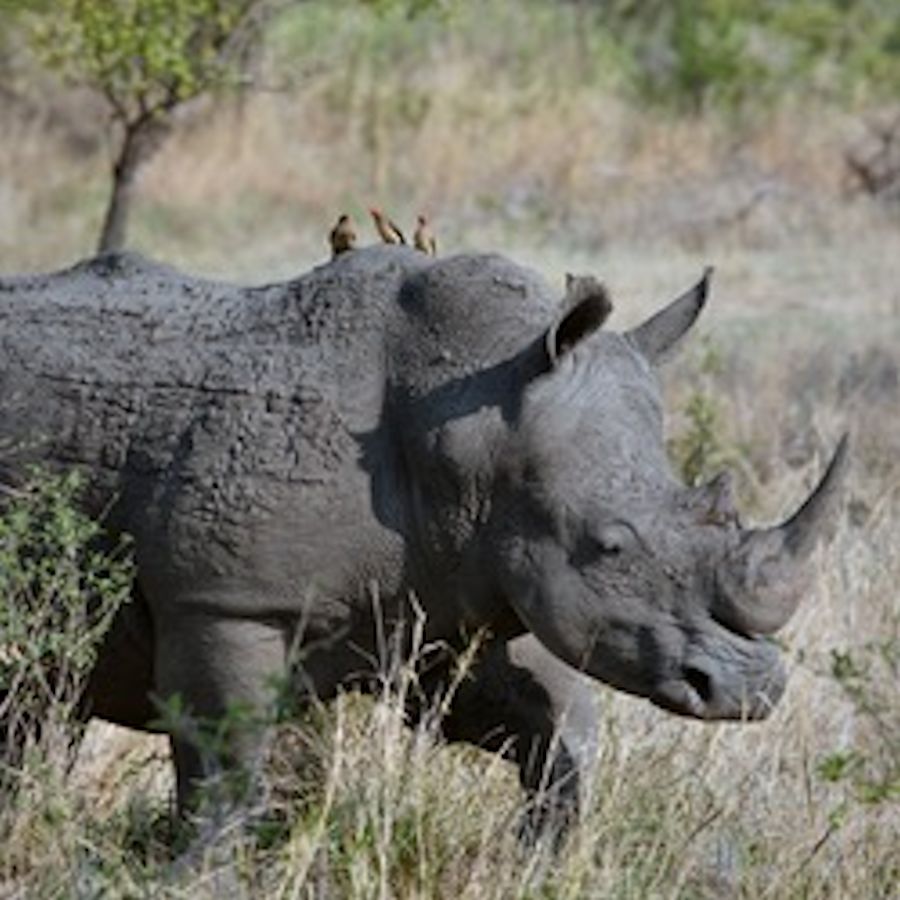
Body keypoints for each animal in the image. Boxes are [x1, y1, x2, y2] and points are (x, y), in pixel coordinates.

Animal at [0, 246, 846, 831]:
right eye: (611, 546)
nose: (750, 691)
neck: (475, 426)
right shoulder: (223, 601)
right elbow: (225, 770)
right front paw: (202, 872)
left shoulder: (451, 589)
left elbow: (556, 731)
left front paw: (538, 855)